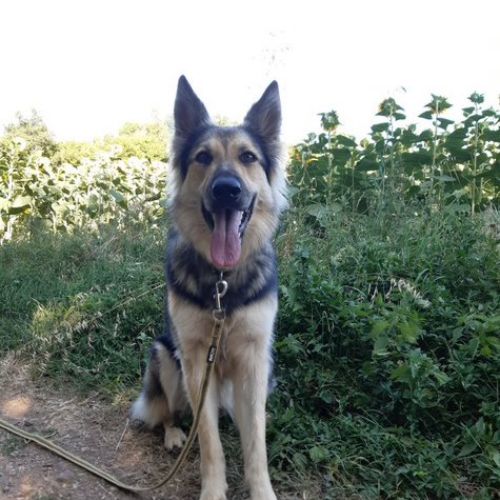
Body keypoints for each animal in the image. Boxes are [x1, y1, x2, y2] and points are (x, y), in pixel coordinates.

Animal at [131, 75, 286, 500]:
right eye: (203, 157)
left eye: (248, 157)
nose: (227, 190)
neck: (223, 280)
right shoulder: (197, 358)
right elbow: (209, 442)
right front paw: (214, 490)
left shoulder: (254, 359)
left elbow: (255, 443)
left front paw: (261, 490)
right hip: (166, 358)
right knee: (171, 414)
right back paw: (172, 434)